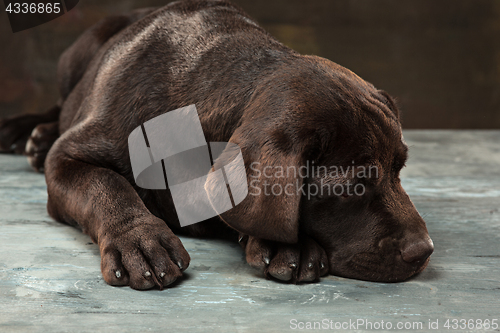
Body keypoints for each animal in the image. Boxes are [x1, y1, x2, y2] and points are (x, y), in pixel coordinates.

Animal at [0, 0, 434, 288]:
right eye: (353, 185)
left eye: (399, 170)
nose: (424, 250)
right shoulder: (70, 156)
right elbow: (106, 185)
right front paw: (138, 239)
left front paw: (289, 246)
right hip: (75, 57)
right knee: (60, 106)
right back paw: (30, 135)